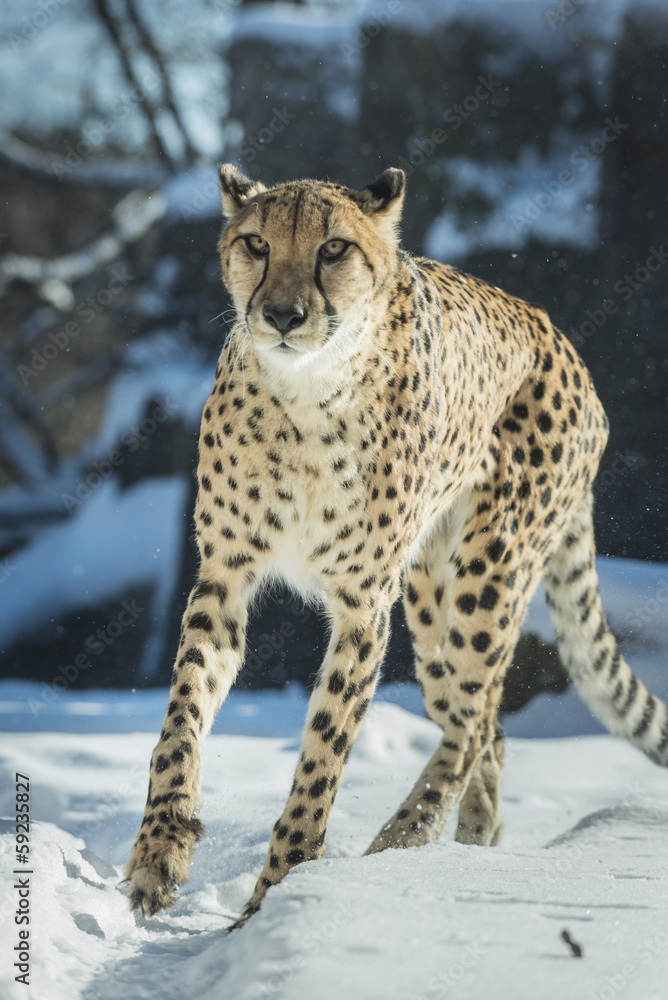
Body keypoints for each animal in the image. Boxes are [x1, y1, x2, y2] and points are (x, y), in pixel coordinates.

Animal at [125, 163, 668, 930]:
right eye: (257, 243)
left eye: (333, 249)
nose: (283, 316)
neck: (306, 394)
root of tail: (562, 341)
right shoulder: (226, 574)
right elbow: (181, 718)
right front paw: (159, 853)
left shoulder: (363, 607)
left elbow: (322, 757)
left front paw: (278, 894)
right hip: (432, 610)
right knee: (485, 725)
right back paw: (465, 847)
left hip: (487, 580)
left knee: (472, 725)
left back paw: (405, 837)